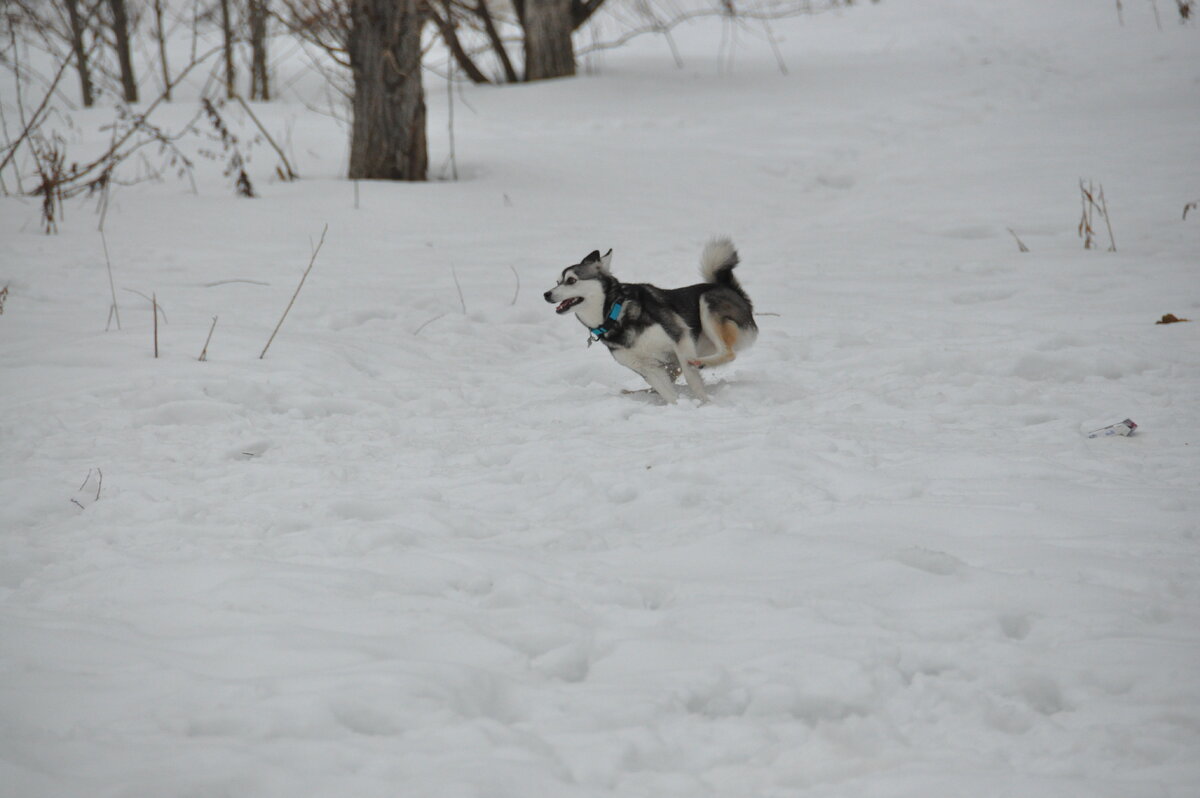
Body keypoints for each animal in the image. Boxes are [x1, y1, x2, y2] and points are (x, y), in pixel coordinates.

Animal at [547, 234, 758, 400]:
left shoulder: (680, 337)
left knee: (728, 353)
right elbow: (668, 393)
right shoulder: (647, 367)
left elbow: (692, 379)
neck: (614, 314)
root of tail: (732, 290)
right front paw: (680, 408)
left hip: (707, 304)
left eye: (571, 280)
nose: (546, 294)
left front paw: (704, 404)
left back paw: (701, 363)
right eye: (557, 282)